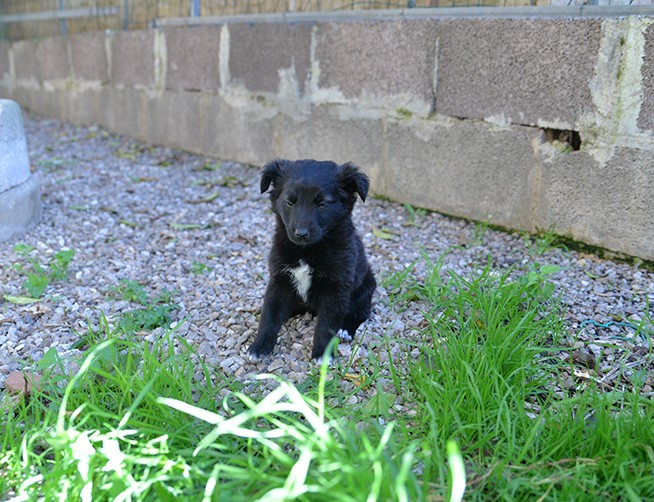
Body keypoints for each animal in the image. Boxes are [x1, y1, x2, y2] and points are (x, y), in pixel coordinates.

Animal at [249, 159, 376, 358]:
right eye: (289, 202)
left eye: (322, 204)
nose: (301, 234)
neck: (306, 252)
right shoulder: (279, 280)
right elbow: (269, 315)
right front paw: (260, 346)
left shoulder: (336, 288)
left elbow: (326, 325)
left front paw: (323, 355)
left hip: (365, 289)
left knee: (360, 314)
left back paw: (345, 330)